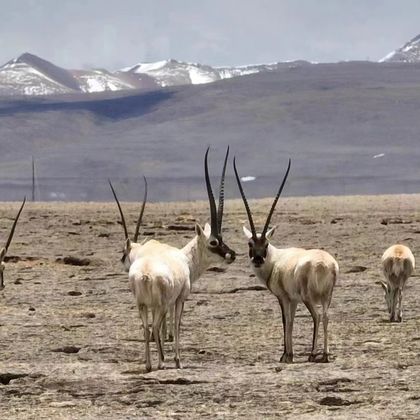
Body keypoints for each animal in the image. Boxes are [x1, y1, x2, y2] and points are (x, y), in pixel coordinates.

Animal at [110, 148, 236, 370]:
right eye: (213, 242)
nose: (232, 254)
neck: (184, 258)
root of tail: (145, 274)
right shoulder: (179, 298)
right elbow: (177, 325)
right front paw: (177, 360)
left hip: (142, 304)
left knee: (146, 327)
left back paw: (149, 364)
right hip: (160, 303)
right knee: (155, 325)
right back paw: (160, 362)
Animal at [235, 159, 340, 362]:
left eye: (266, 243)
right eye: (251, 243)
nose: (258, 259)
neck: (275, 260)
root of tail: (324, 264)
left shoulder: (284, 297)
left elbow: (287, 321)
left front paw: (286, 355)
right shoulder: (294, 300)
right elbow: (291, 321)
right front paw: (288, 354)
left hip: (309, 297)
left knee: (316, 316)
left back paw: (312, 354)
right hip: (327, 296)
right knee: (326, 316)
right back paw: (325, 355)